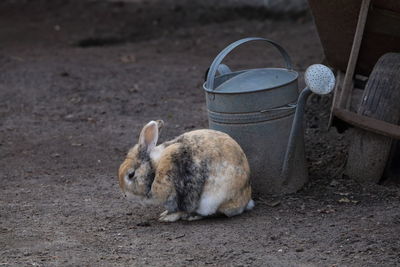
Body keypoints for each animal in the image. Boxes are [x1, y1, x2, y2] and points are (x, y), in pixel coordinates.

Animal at [117, 120, 253, 223]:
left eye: (131, 175)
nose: (124, 195)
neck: (155, 169)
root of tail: (245, 200)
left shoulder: (183, 192)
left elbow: (182, 209)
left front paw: (167, 218)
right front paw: (164, 214)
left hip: (212, 201)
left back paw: (194, 216)